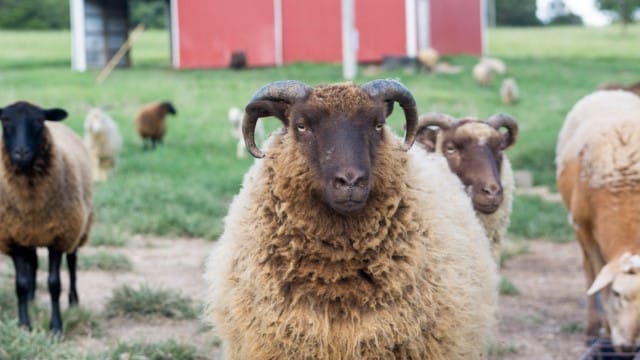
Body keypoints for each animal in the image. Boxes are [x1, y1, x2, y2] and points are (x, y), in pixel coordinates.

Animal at [0, 100, 94, 334]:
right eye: (5, 120)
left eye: (39, 120)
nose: (21, 151)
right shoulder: (14, 238)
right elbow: (20, 284)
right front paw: (24, 324)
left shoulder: (58, 238)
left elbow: (54, 284)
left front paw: (56, 328)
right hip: (30, 236)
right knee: (33, 264)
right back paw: (32, 298)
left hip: (77, 228)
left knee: (72, 263)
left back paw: (73, 301)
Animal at [556, 90, 640, 352]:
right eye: (617, 294)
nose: (628, 347)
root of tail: (611, 91)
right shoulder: (583, 226)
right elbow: (598, 278)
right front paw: (607, 331)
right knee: (587, 270)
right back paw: (592, 328)